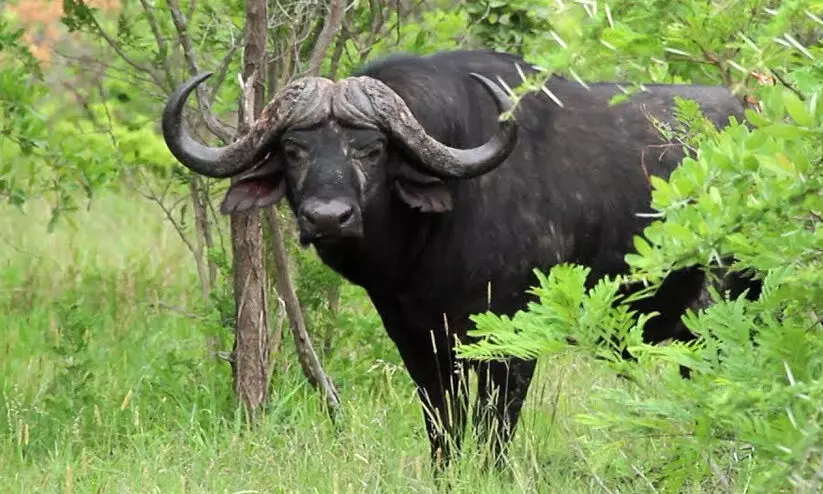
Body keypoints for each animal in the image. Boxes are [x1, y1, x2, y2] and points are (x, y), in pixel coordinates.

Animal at [161, 49, 760, 470]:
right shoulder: (417, 340)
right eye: (293, 149)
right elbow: (442, 427)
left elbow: (495, 430)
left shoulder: (512, 342)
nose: (328, 218)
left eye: (371, 149)